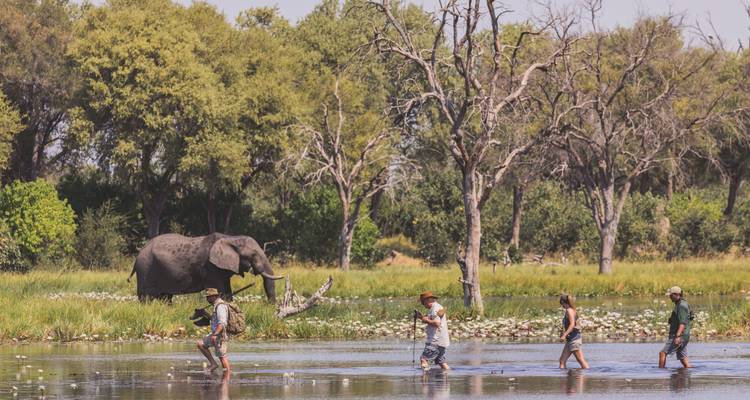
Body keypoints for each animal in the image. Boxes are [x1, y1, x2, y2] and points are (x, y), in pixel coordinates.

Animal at [128, 233, 283, 302]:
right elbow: (221, 290)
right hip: (146, 269)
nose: (270, 307)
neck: (231, 238)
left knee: (165, 297)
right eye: (253, 255)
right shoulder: (211, 267)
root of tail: (139, 254)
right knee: (147, 297)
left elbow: (227, 290)